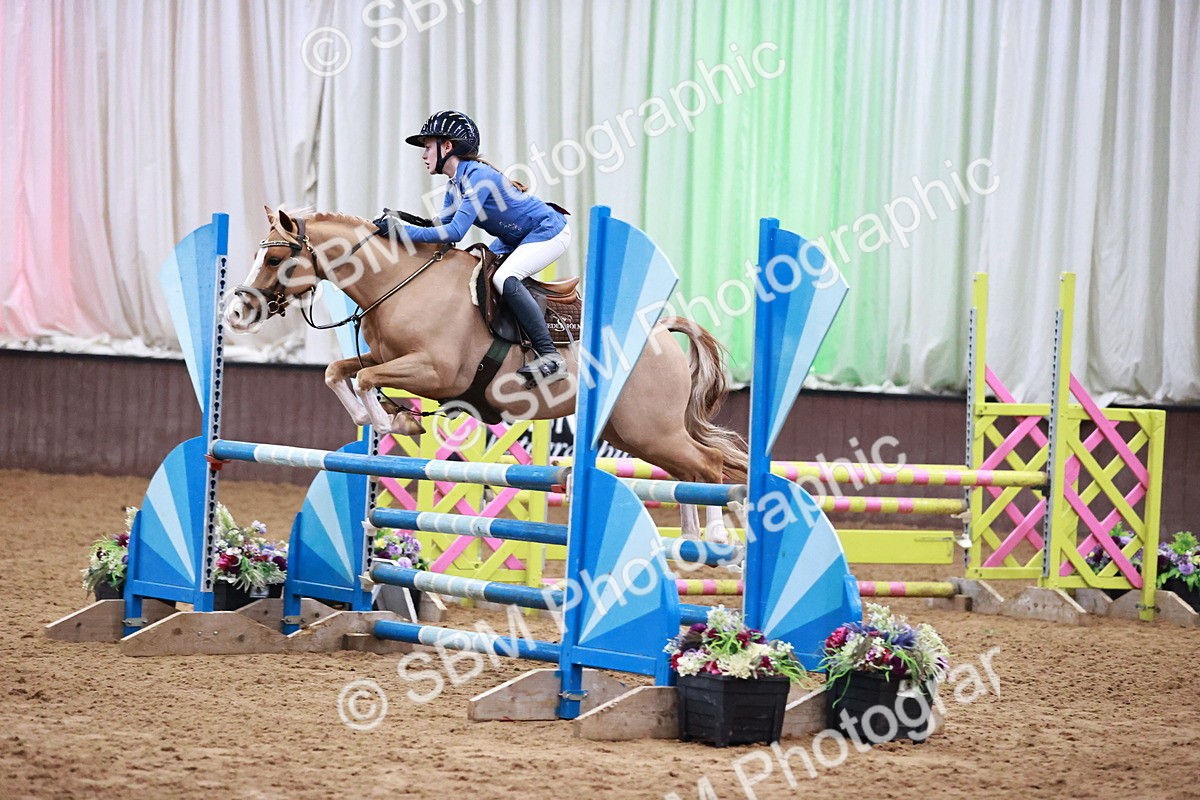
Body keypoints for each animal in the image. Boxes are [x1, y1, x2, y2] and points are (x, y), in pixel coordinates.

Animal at [223, 206, 748, 541]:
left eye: (274, 258)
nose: (237, 313)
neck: (398, 283)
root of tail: (659, 331)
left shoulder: (435, 373)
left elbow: (370, 383)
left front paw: (397, 421)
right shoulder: (384, 357)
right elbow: (338, 371)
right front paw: (386, 419)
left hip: (649, 429)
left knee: (708, 465)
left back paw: (718, 539)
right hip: (635, 433)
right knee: (688, 470)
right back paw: (691, 536)